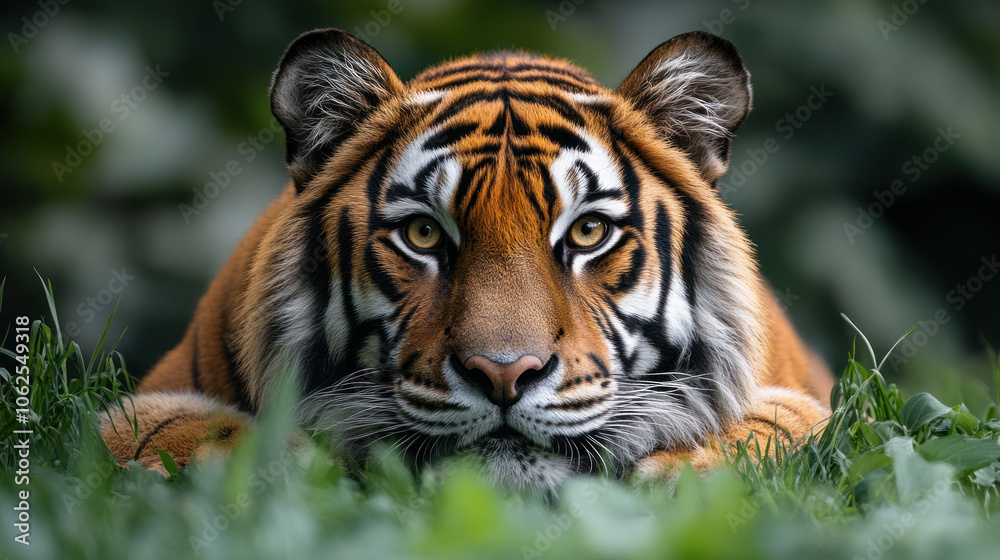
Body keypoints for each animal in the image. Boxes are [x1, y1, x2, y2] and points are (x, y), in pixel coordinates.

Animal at [101, 28, 833, 493]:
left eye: (589, 231)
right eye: (424, 235)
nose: (503, 374)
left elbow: (780, 426)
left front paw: (685, 471)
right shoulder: (138, 406)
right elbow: (179, 431)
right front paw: (287, 460)